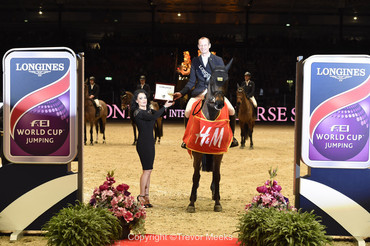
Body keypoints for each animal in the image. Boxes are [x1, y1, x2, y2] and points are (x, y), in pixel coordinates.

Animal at [185, 58, 234, 213]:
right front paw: (191, 203)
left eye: (227, 80)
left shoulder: (218, 152)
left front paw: (217, 202)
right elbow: (195, 175)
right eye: (211, 80)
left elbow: (217, 175)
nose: (218, 103)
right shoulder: (197, 151)